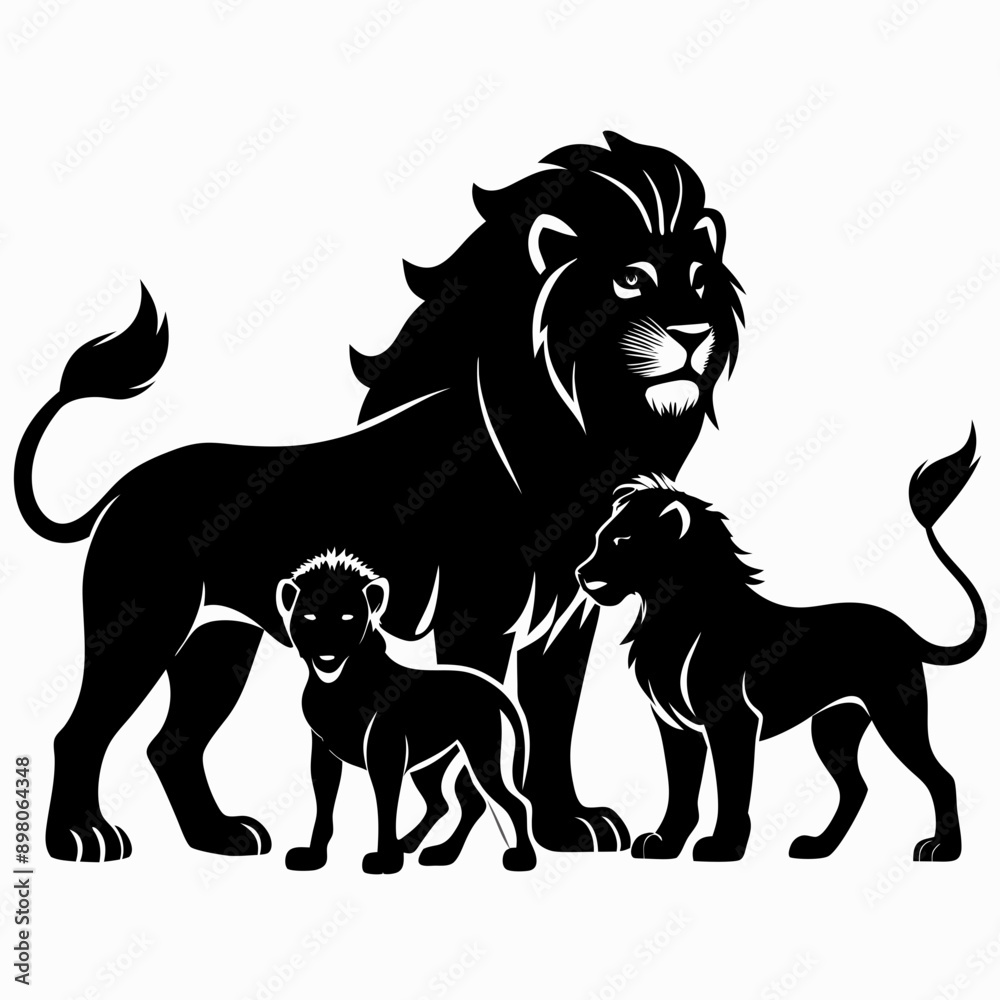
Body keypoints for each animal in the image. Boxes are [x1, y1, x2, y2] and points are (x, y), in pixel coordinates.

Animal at [277, 551, 535, 874]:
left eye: (348, 617)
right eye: (309, 616)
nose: (327, 646)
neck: (336, 686)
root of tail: (491, 686)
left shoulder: (385, 752)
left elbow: (386, 806)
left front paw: (385, 860)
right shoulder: (323, 752)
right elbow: (324, 805)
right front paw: (314, 856)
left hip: (481, 752)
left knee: (515, 802)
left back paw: (521, 859)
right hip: (432, 764)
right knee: (450, 803)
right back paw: (432, 851)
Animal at [575, 430, 985, 862]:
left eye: (622, 541)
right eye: (599, 539)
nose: (581, 573)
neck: (667, 616)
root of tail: (904, 630)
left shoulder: (731, 720)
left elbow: (732, 788)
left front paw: (723, 846)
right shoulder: (675, 726)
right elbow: (682, 789)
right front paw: (665, 843)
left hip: (895, 715)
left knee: (940, 777)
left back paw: (942, 849)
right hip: (833, 726)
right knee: (856, 788)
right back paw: (817, 847)